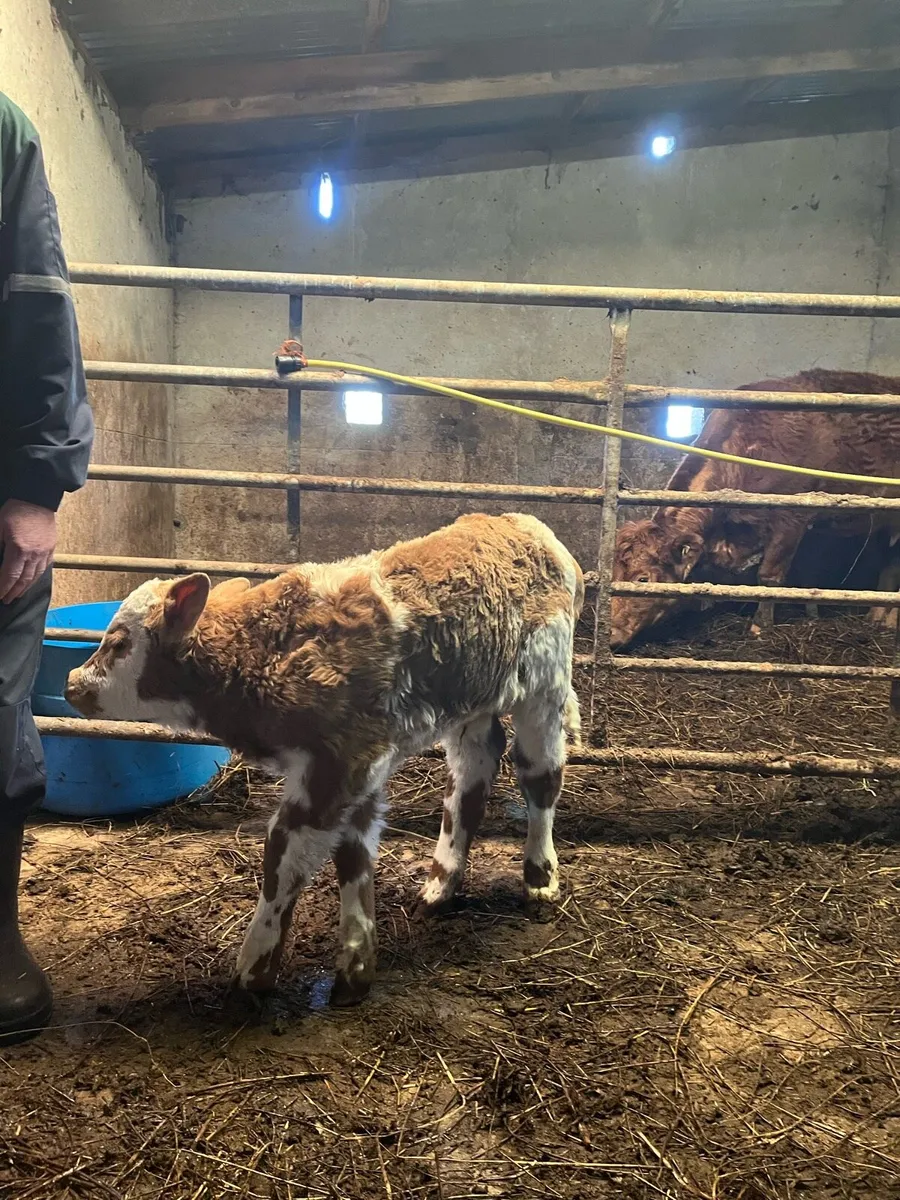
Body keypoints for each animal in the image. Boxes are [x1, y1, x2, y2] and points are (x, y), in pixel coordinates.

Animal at [64, 514, 584, 1005]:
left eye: (118, 642)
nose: (72, 684)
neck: (264, 650)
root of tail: (530, 528)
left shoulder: (339, 765)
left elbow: (284, 854)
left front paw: (253, 972)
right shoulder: (360, 768)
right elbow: (353, 853)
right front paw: (356, 967)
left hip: (544, 687)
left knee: (540, 776)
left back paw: (540, 880)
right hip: (472, 701)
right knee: (472, 777)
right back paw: (440, 887)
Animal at [610, 369, 900, 649]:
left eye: (643, 579)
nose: (611, 635)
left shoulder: (791, 518)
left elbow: (770, 576)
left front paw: (760, 627)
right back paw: (876, 617)